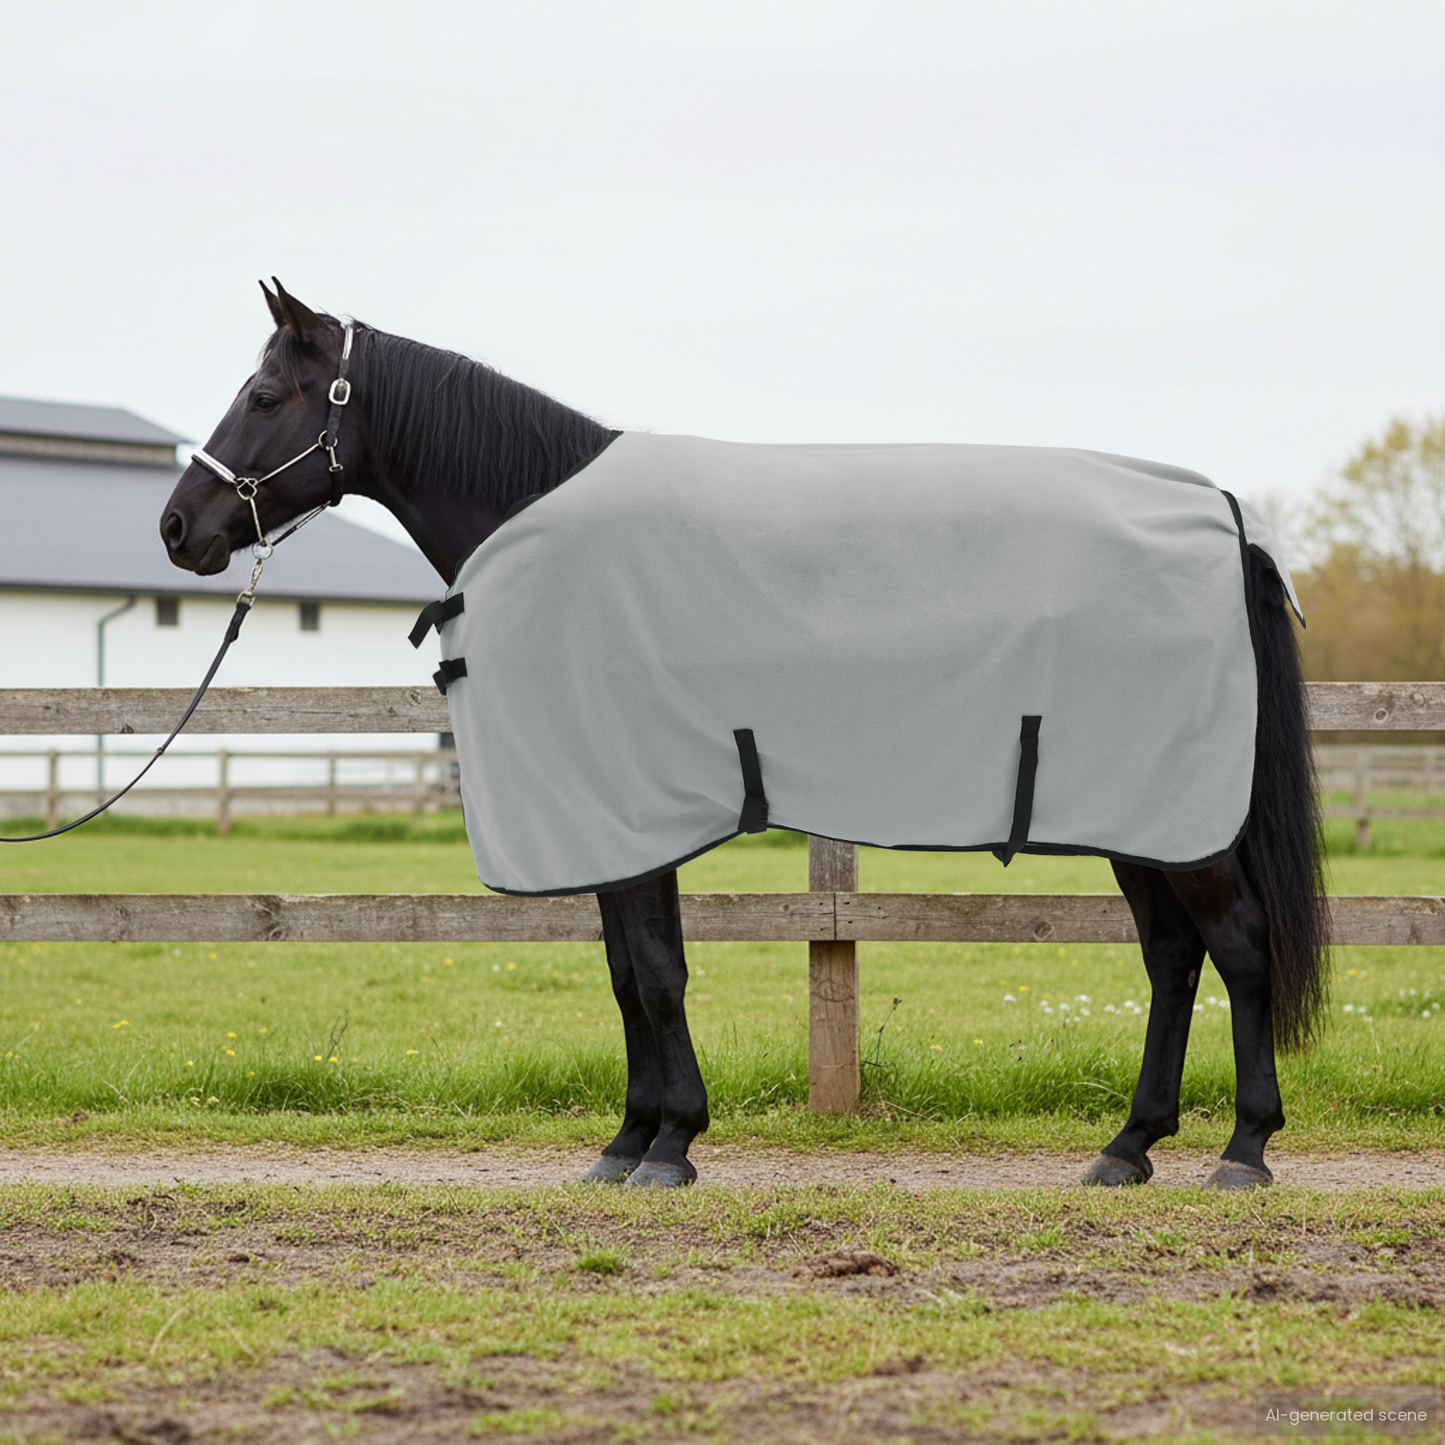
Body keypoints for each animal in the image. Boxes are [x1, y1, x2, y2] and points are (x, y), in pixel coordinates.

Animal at [160, 280, 1329, 1190]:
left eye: (263, 395)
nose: (178, 527)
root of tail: (1223, 520)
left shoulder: (630, 814)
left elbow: (655, 973)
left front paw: (669, 1143)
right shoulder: (613, 822)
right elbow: (628, 971)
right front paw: (630, 1138)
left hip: (1176, 818)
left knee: (1238, 946)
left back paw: (1242, 1149)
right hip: (1136, 814)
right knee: (1172, 956)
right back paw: (1128, 1146)